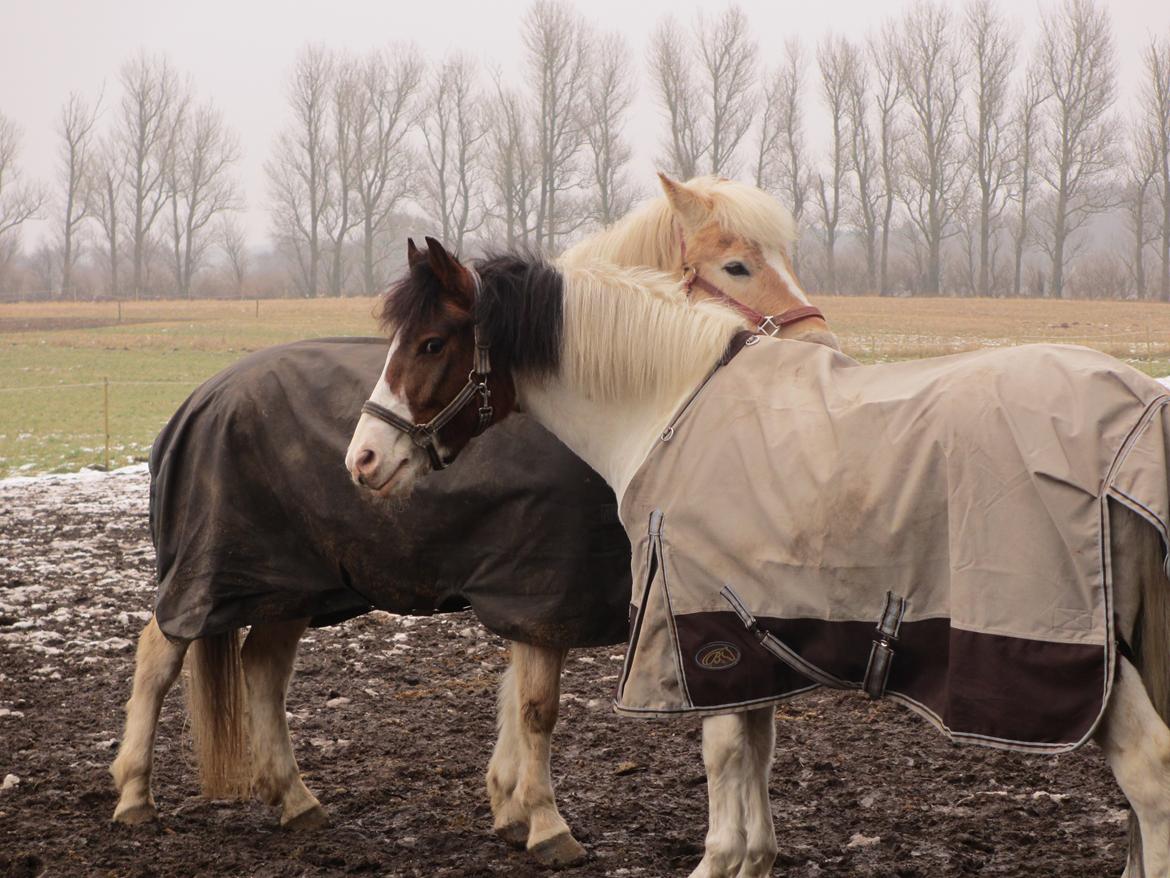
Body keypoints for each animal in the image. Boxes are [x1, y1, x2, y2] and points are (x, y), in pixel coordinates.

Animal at [109, 175, 833, 870]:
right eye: (737, 265)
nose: (821, 346)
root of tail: (200, 400)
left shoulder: (532, 598)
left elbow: (514, 699)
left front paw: (510, 808)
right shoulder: (541, 591)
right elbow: (538, 708)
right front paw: (545, 824)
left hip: (291, 584)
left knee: (262, 668)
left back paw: (294, 798)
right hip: (209, 574)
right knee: (157, 655)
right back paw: (134, 794)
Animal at [351, 237, 1170, 875]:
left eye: (431, 344)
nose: (362, 457)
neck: (673, 407)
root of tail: (1135, 417)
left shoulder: (700, 625)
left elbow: (722, 752)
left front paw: (719, 858)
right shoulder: (752, 632)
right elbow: (754, 745)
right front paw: (753, 856)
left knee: (1151, 774)